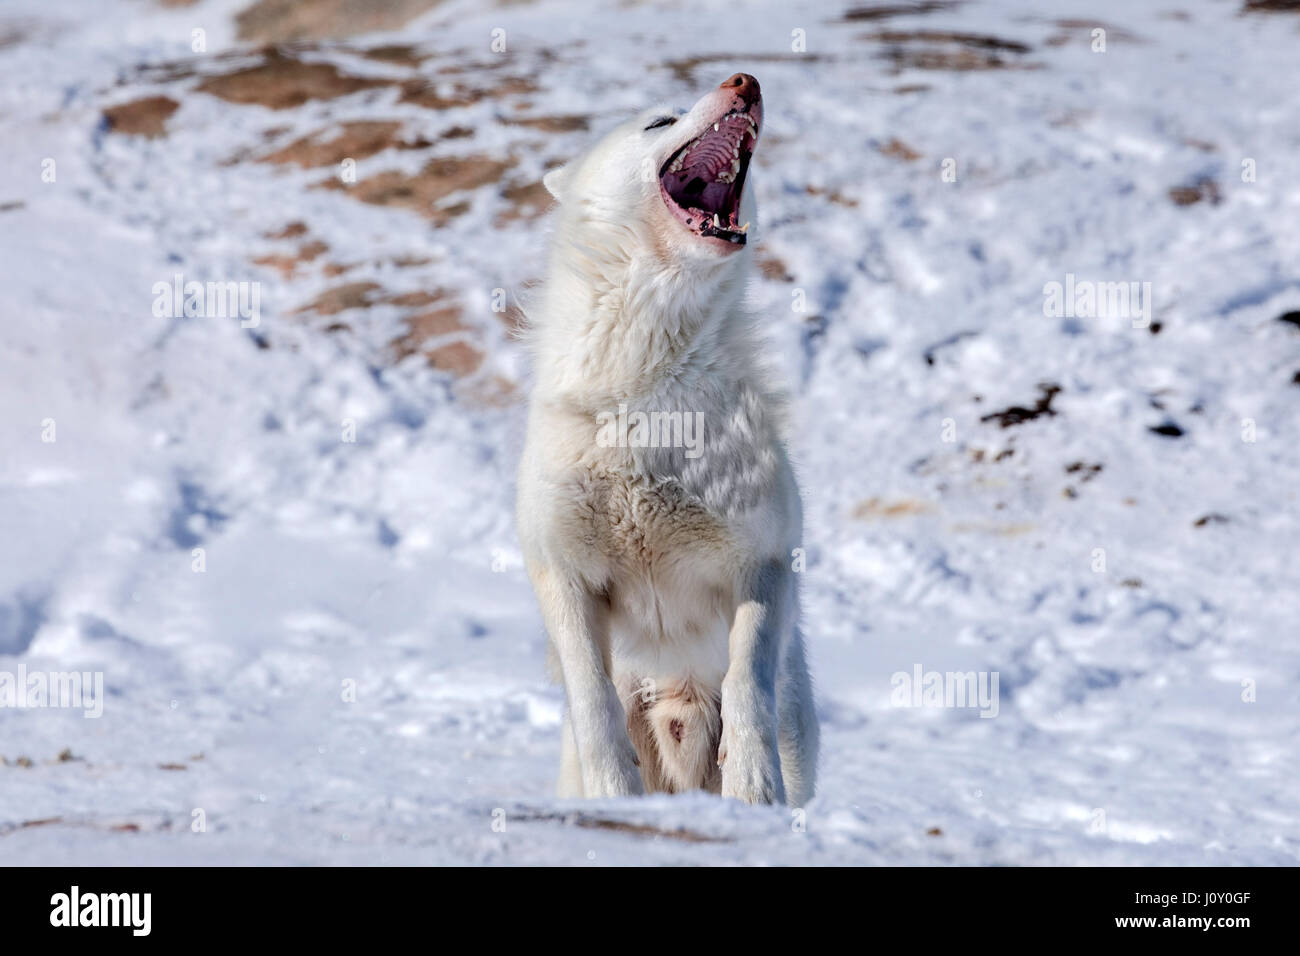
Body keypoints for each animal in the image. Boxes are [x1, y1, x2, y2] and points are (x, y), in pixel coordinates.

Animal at [514, 72, 811, 806]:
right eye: (660, 122)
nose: (745, 80)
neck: (646, 393)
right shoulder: (561, 571)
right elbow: (591, 696)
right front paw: (613, 789)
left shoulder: (763, 561)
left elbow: (746, 680)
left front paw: (752, 784)